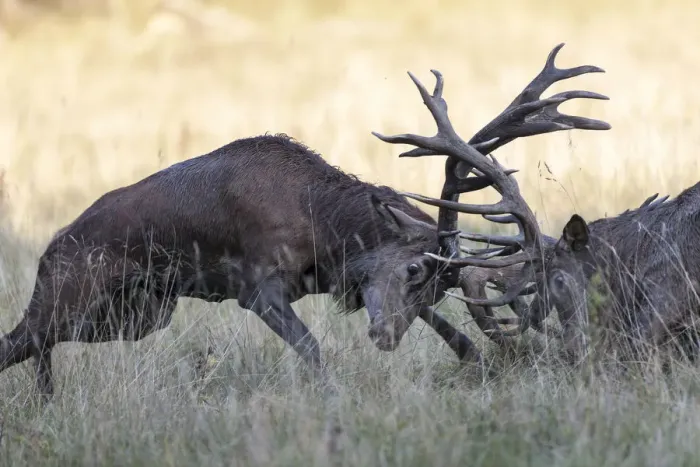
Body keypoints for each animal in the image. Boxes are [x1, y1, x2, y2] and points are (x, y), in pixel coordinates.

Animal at [0, 43, 609, 399]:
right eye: (414, 270)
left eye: (436, 287)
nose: (385, 337)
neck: (324, 231)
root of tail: (48, 250)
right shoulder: (256, 284)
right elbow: (313, 349)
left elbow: (452, 332)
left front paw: (477, 359)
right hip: (71, 296)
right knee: (18, 340)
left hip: (136, 315)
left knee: (37, 347)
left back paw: (48, 396)